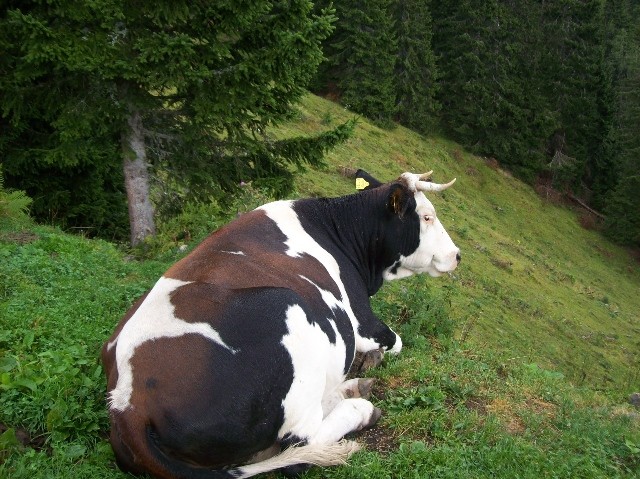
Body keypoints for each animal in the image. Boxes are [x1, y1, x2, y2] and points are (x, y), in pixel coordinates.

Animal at [101, 171, 460, 478]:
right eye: (427, 217)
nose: (457, 255)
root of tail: (129, 406)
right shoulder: (364, 323)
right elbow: (396, 341)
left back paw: (352, 388)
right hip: (288, 309)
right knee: (300, 448)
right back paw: (360, 408)